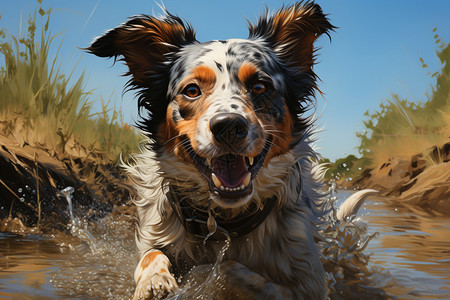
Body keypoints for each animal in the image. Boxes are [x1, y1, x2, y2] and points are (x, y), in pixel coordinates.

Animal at [87, 2, 372, 300]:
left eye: (259, 86)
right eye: (192, 90)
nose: (228, 127)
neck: (224, 221)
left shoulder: (308, 283)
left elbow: (226, 269)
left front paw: (199, 278)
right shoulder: (155, 234)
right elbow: (150, 255)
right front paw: (154, 282)